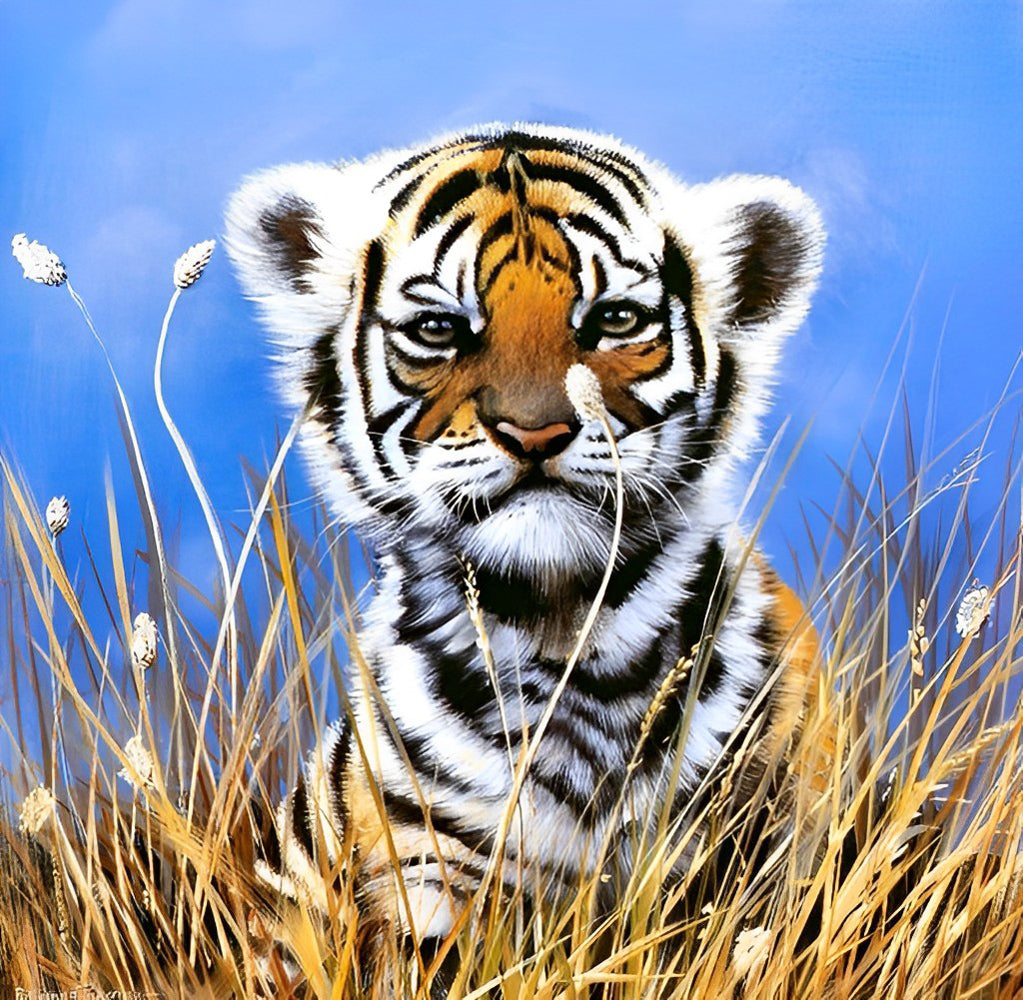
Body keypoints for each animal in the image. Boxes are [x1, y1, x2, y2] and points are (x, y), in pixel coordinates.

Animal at [225, 122, 826, 987]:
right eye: (439, 329)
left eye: (613, 319)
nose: (535, 430)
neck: (566, 628)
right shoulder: (429, 867)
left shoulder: (763, 844)